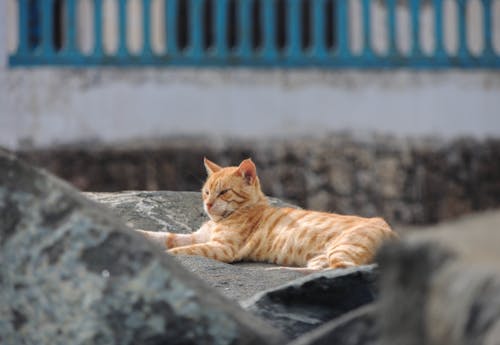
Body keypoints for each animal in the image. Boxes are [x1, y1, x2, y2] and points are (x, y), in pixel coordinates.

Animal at [136, 157, 394, 270]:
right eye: (206, 192)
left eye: (224, 192)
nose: (208, 205)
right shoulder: (197, 236)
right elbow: (163, 237)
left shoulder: (221, 248)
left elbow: (180, 250)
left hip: (344, 249)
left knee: (346, 268)